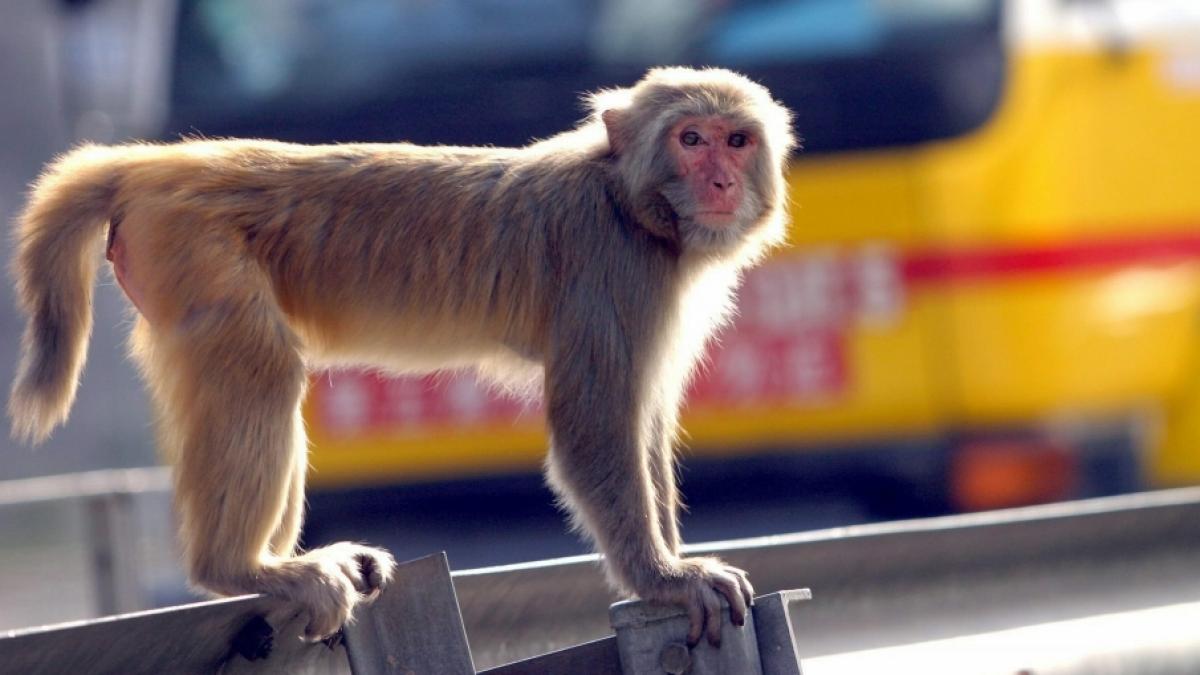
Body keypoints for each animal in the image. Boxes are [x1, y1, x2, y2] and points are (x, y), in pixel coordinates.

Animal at [9, 67, 795, 646]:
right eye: (691, 139)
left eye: (736, 139)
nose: (721, 182)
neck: (630, 204)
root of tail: (158, 162)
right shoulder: (612, 267)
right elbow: (594, 427)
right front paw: (665, 578)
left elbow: (645, 420)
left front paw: (672, 561)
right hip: (195, 248)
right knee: (261, 367)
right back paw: (241, 567)